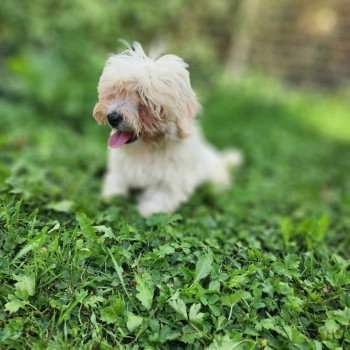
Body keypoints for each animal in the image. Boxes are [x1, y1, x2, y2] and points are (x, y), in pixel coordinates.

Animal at [92, 42, 241, 217]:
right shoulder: (120, 167)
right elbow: (117, 180)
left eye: (144, 100)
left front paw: (150, 210)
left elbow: (162, 193)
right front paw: (110, 196)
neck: (147, 148)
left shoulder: (173, 176)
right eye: (115, 92)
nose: (112, 117)